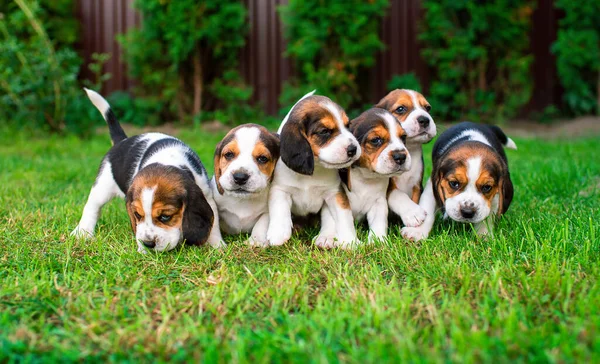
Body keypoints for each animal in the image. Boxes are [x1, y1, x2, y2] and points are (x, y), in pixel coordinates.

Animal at [71, 88, 225, 253]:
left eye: (165, 217)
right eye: (137, 215)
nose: (148, 244)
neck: (166, 160)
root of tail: (122, 141)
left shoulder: (207, 195)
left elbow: (214, 223)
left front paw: (217, 245)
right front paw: (142, 250)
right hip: (103, 186)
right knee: (92, 207)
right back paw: (83, 232)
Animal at [266, 91, 360, 250]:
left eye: (348, 126)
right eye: (324, 131)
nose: (353, 149)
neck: (315, 169)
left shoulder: (334, 193)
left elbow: (344, 217)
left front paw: (350, 241)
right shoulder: (280, 189)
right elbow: (279, 209)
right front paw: (278, 233)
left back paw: (326, 237)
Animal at [340, 109, 410, 245]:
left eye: (403, 137)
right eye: (376, 140)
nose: (401, 156)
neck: (365, 177)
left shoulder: (378, 202)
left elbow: (379, 222)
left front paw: (378, 241)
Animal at [376, 88, 436, 226]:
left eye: (428, 108)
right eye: (400, 109)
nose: (425, 119)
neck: (410, 149)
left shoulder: (416, 185)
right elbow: (398, 195)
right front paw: (413, 213)